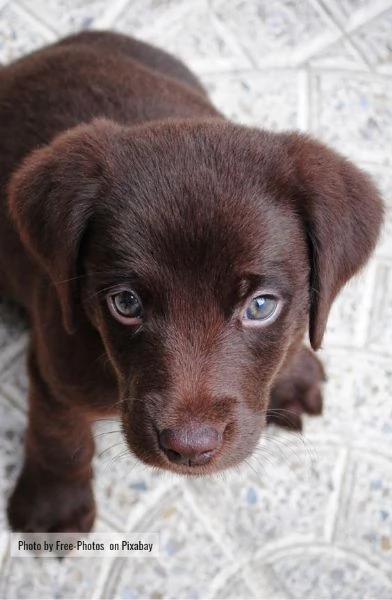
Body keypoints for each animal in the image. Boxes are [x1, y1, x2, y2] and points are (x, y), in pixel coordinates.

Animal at [0, 30, 384, 532]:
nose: (189, 447)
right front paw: (54, 506)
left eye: (260, 306)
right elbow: (60, 437)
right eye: (126, 303)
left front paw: (292, 371)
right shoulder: (55, 364)